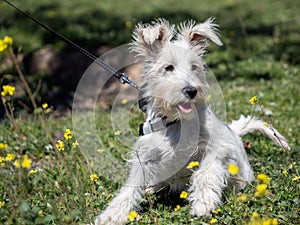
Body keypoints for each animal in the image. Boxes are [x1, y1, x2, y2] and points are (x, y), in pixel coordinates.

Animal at [93, 18, 288, 224]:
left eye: (194, 66)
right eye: (168, 68)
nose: (191, 91)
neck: (176, 122)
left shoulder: (214, 148)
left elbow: (205, 174)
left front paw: (203, 204)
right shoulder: (145, 157)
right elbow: (130, 187)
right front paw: (112, 214)